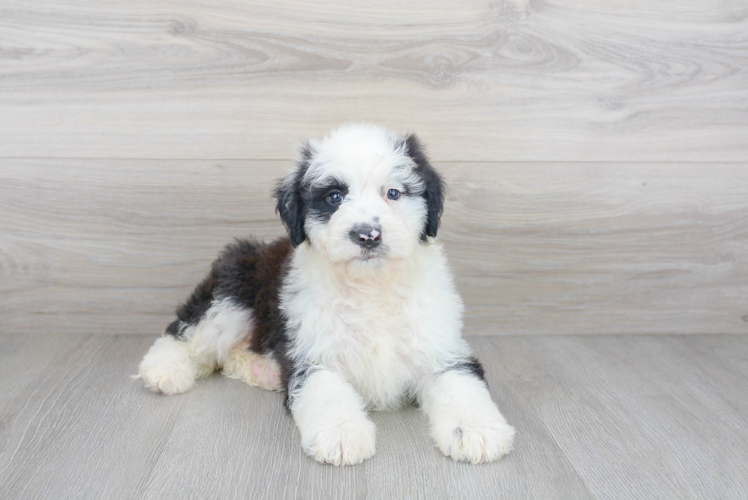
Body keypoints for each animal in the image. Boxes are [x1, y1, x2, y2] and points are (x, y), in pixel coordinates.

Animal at [136, 124, 516, 464]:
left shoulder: (441, 348)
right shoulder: (312, 352)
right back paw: (163, 370)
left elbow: (461, 384)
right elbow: (327, 392)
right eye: (334, 197)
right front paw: (341, 433)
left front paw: (476, 430)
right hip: (232, 297)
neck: (371, 286)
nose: (367, 235)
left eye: (393, 193)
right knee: (183, 332)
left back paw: (262, 370)